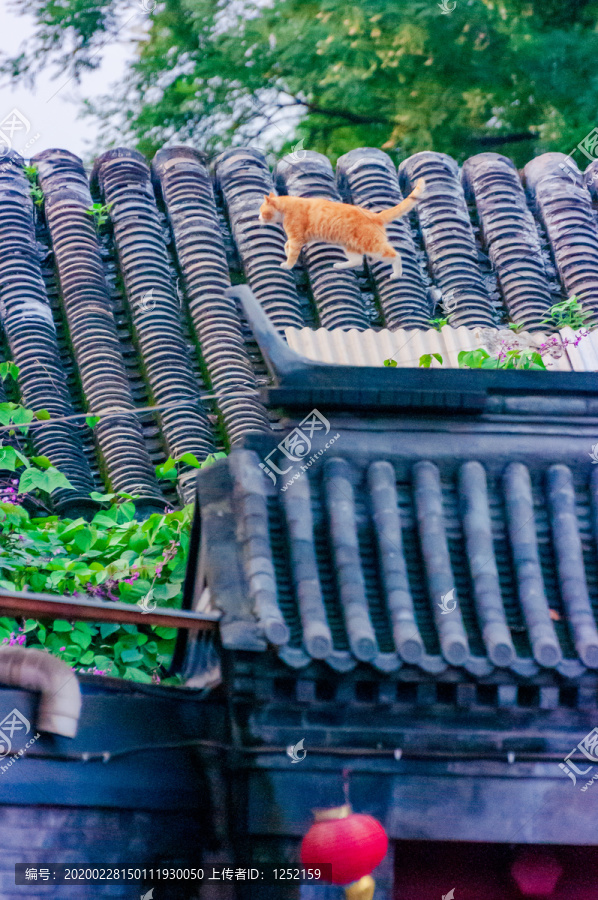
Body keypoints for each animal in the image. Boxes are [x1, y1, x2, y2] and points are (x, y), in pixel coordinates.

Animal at [260, 180, 424, 282]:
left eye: (262, 211)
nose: (258, 217)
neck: (286, 207)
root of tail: (375, 215)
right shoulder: (301, 238)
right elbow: (286, 245)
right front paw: (286, 251)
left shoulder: (297, 238)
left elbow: (292, 253)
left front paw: (287, 265)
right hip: (349, 246)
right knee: (357, 261)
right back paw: (340, 266)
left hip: (372, 247)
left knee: (396, 256)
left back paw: (397, 274)